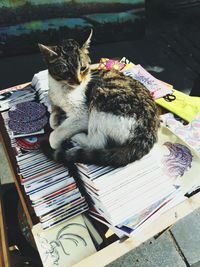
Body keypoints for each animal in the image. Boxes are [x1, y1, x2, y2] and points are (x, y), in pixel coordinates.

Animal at [38, 29, 159, 172]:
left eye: (83, 68)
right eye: (66, 72)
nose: (79, 82)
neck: (62, 88)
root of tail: (147, 135)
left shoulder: (82, 114)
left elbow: (54, 136)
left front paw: (59, 131)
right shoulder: (55, 100)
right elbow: (52, 116)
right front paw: (56, 119)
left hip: (99, 104)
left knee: (96, 143)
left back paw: (75, 137)